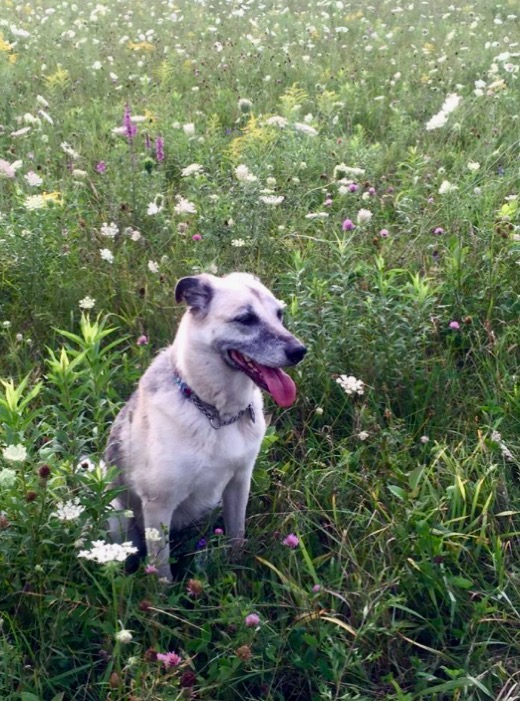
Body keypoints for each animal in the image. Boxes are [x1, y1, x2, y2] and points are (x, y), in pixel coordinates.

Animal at [105, 270, 306, 576]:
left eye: (279, 315)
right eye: (246, 319)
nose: (300, 351)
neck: (216, 413)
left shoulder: (239, 482)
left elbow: (237, 535)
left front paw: (237, 567)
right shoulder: (158, 506)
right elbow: (162, 573)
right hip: (117, 517)